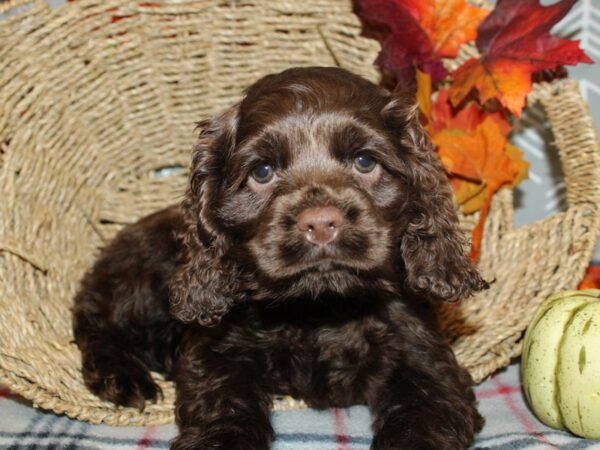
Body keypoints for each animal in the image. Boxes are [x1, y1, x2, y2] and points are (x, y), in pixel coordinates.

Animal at [72, 67, 490, 450]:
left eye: (364, 162)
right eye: (262, 171)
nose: (320, 223)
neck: (318, 309)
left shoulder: (423, 358)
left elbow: (421, 420)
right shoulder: (218, 350)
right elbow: (224, 406)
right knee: (95, 317)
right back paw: (121, 376)